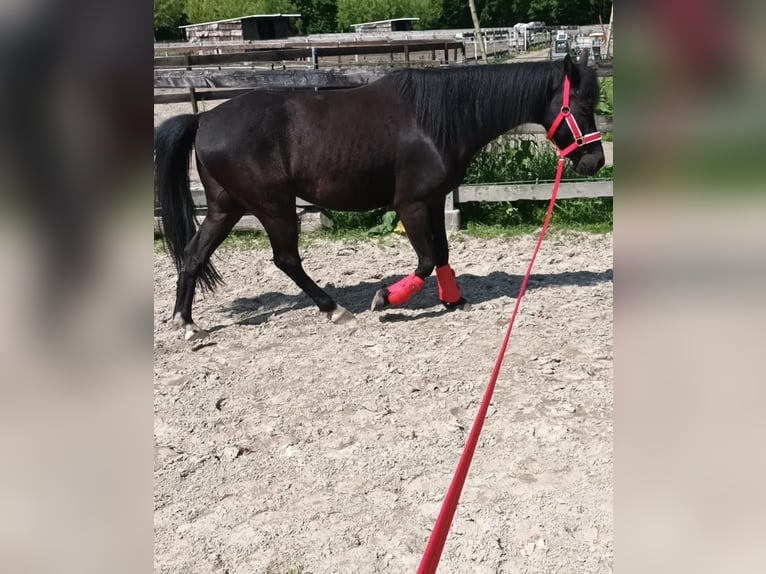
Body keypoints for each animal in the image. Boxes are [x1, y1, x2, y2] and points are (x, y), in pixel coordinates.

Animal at [154, 53, 608, 342]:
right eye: (582, 104)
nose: (596, 160)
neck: (433, 119)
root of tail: (204, 118)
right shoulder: (410, 205)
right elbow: (426, 259)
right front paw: (385, 298)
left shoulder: (434, 202)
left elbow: (442, 254)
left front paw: (453, 299)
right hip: (273, 206)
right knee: (286, 260)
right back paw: (335, 309)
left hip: (225, 207)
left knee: (193, 256)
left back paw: (186, 323)